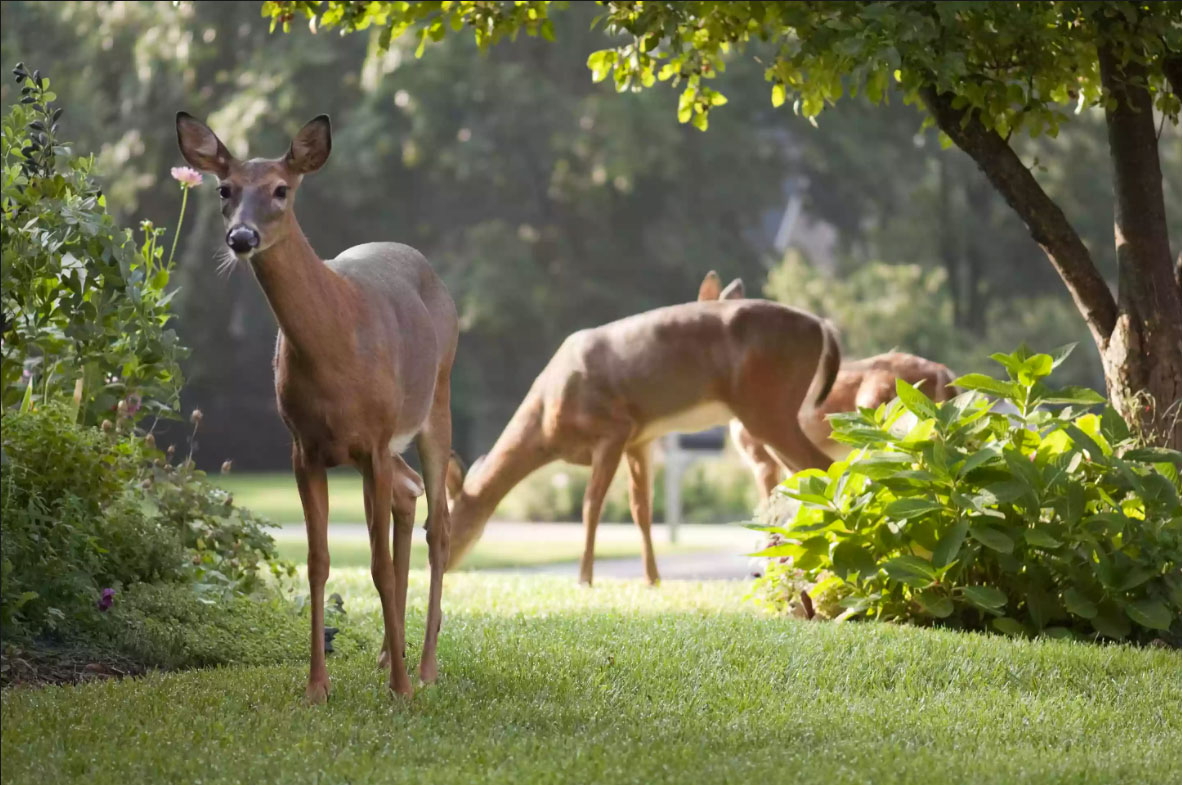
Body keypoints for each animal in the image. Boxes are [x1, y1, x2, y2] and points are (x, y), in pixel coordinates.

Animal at [177, 111, 458, 699]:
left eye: (281, 190)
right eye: (224, 189)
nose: (241, 237)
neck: (335, 347)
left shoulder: (373, 440)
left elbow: (376, 564)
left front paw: (400, 690)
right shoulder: (303, 447)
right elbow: (318, 562)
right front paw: (316, 687)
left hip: (434, 399)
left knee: (439, 522)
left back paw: (423, 668)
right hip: (379, 445)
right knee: (409, 493)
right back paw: (388, 653)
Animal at [444, 282, 841, 581]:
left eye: (447, 523)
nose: (443, 567)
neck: (546, 425)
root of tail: (821, 325)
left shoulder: (613, 429)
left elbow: (591, 506)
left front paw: (584, 579)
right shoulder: (641, 439)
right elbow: (642, 509)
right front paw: (652, 579)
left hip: (766, 404)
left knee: (823, 467)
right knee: (802, 477)